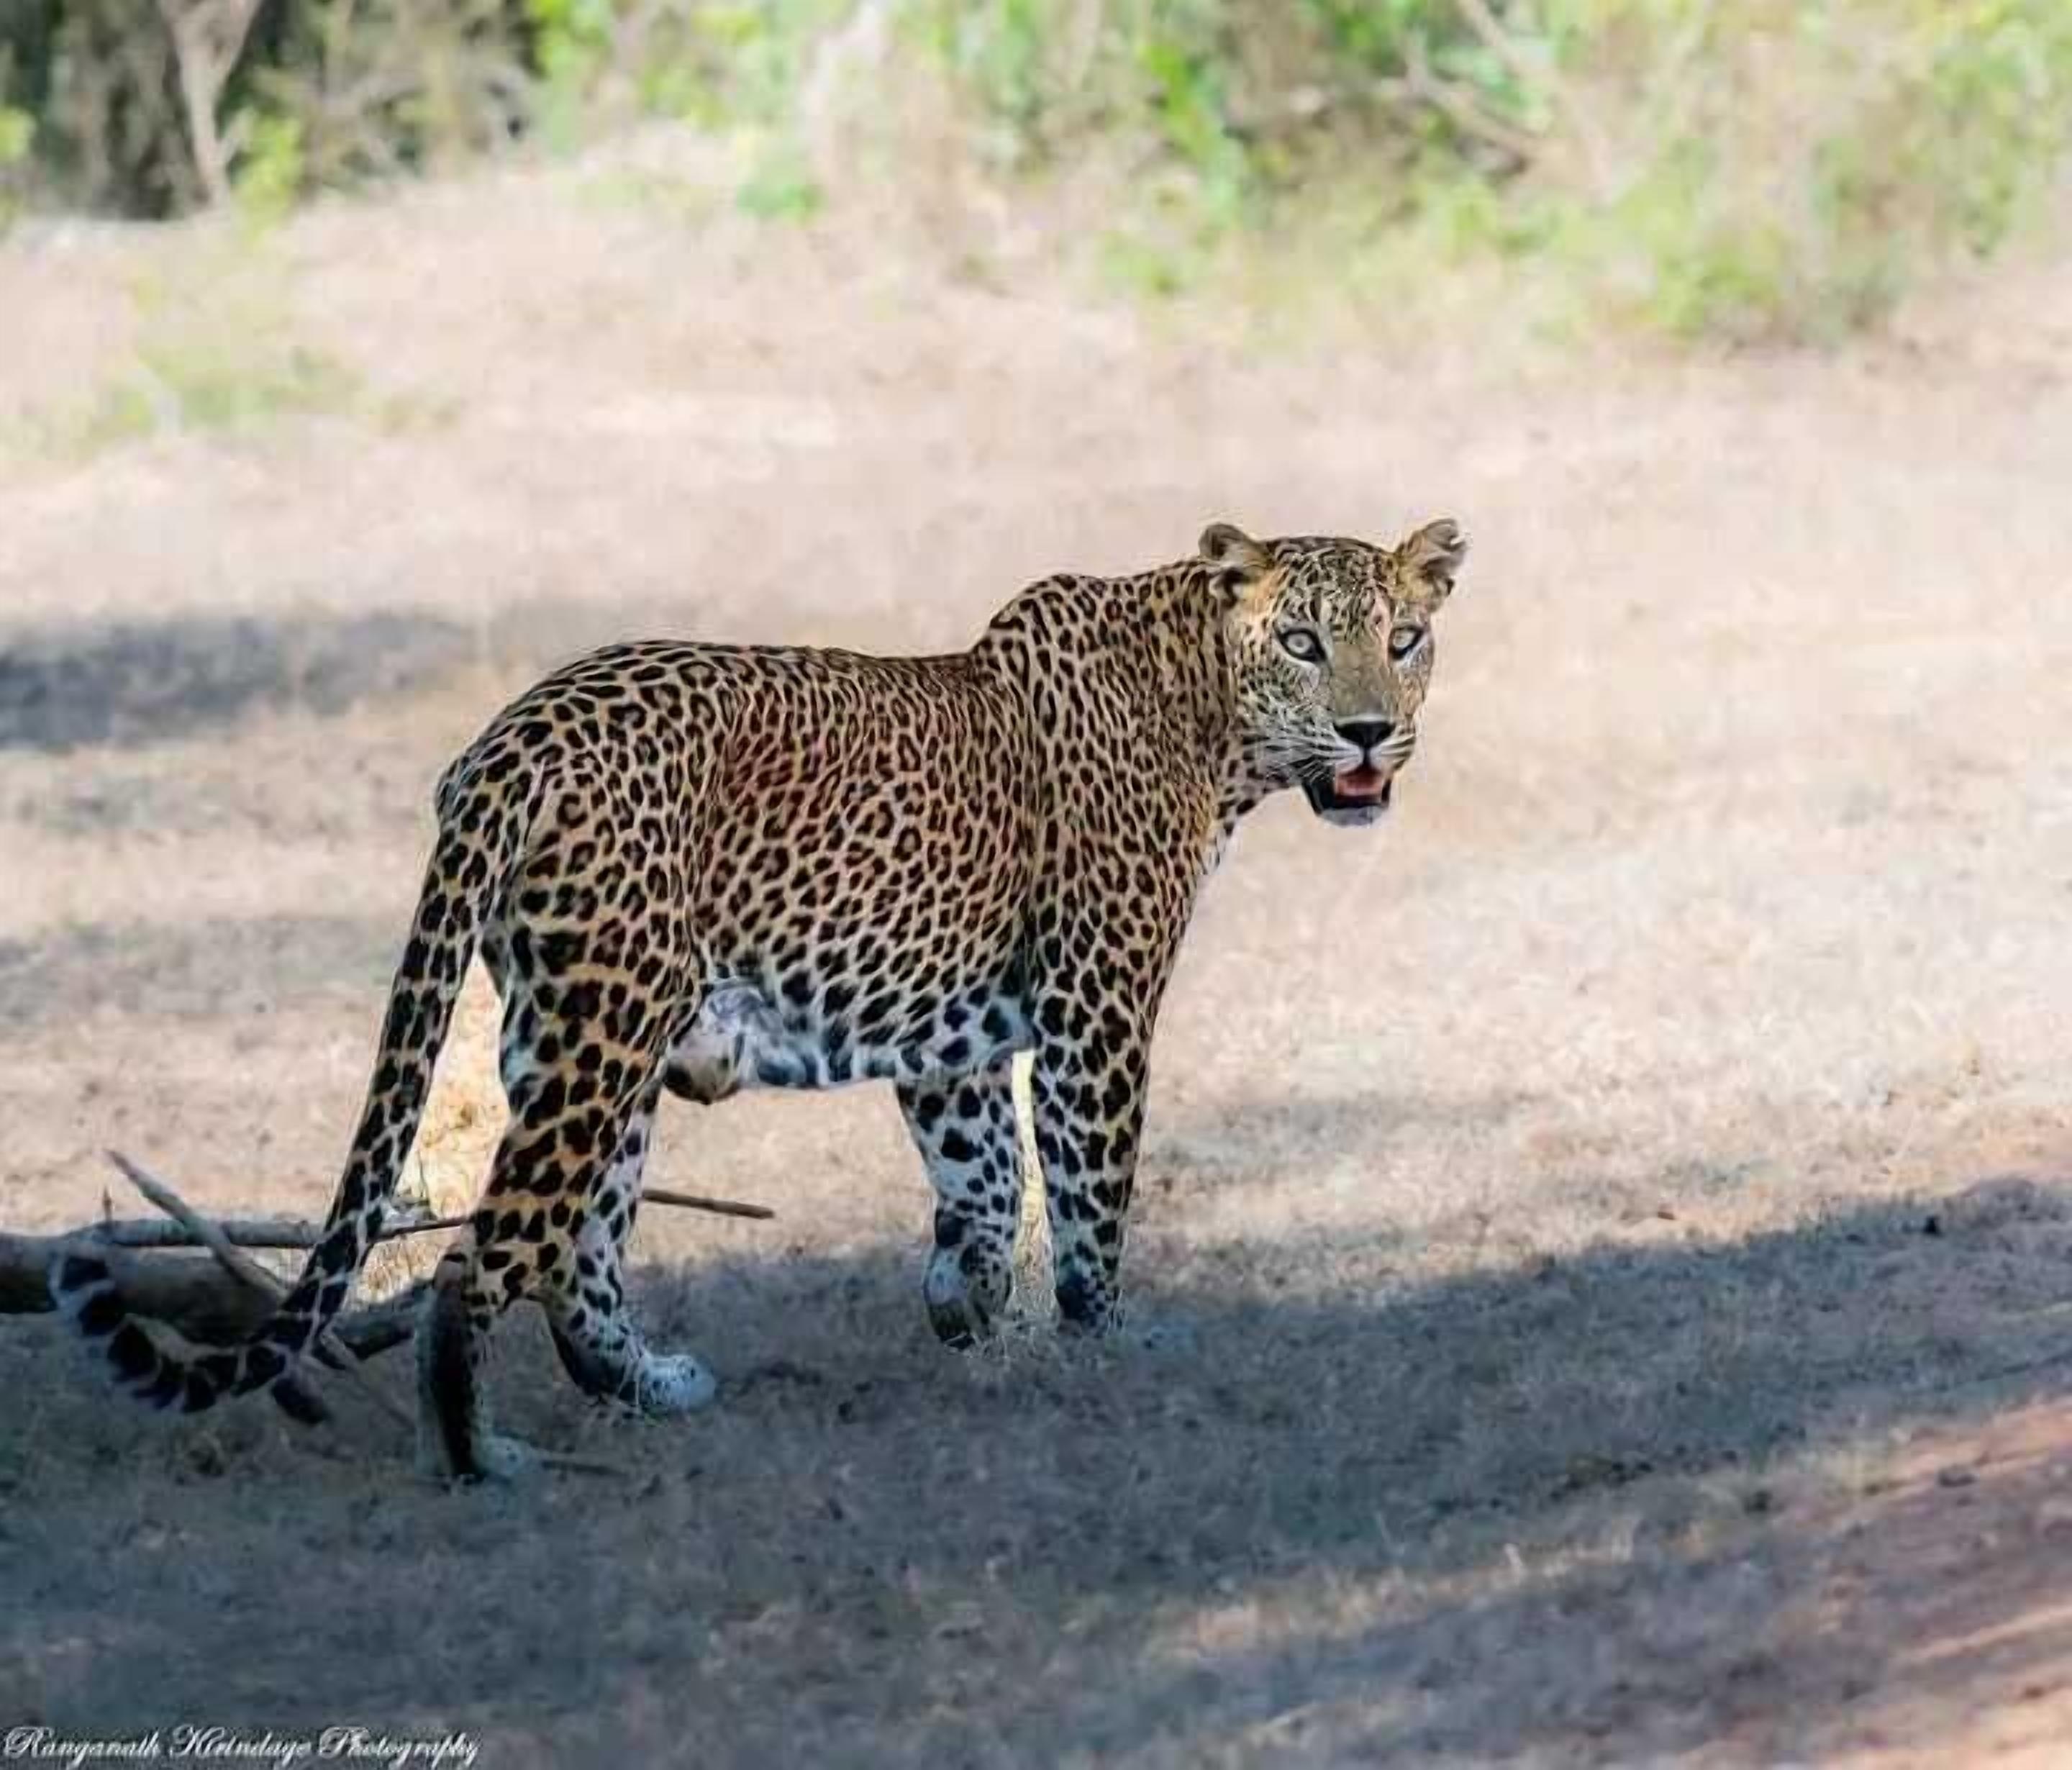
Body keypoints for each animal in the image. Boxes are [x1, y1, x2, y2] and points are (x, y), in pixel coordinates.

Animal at [53, 516, 1467, 1480]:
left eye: (1402, 641)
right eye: (1303, 642)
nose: (1367, 734)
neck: (1208, 713)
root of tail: (508, 741)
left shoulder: (951, 1029)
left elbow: (983, 1176)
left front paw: (964, 1304)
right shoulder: (1096, 1004)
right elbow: (1089, 1187)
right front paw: (1106, 1337)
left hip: (578, 1028)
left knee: (580, 1248)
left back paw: (651, 1386)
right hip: (605, 1032)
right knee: (486, 1255)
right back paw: (478, 1459)